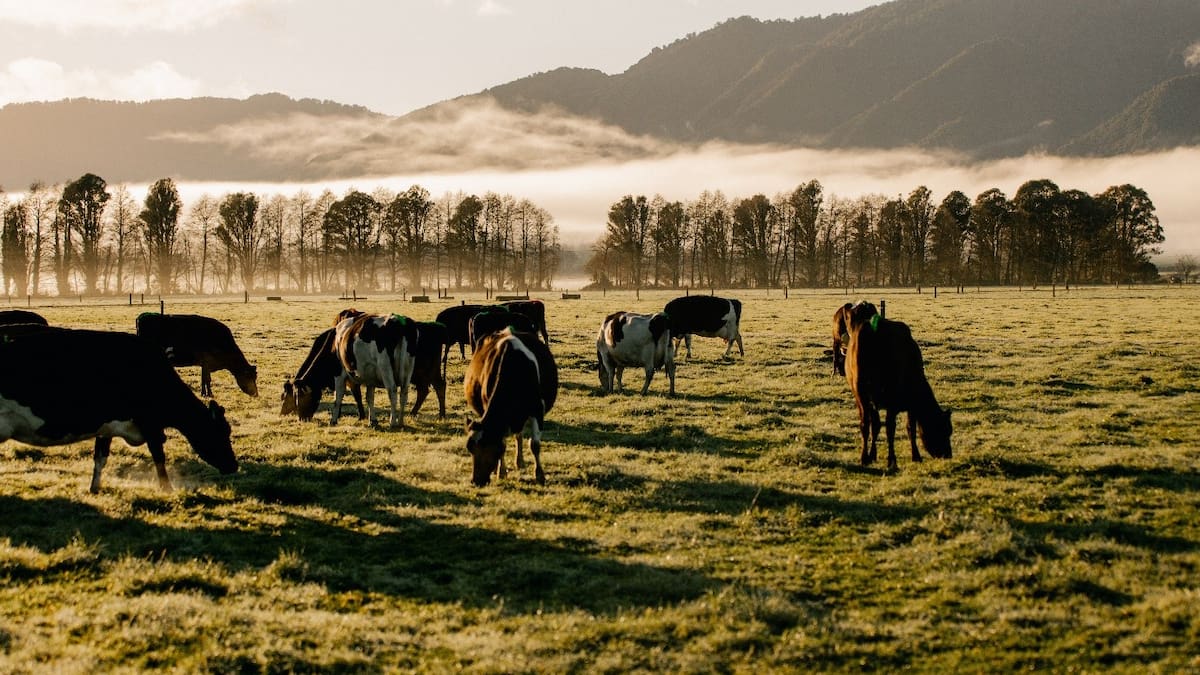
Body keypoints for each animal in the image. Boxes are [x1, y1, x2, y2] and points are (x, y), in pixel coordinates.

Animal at [0, 324, 237, 487]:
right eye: (221, 432)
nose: (233, 465)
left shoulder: (107, 426)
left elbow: (100, 458)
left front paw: (95, 489)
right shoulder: (149, 424)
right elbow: (159, 457)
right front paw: (167, 489)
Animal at [463, 326, 556, 482]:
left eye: (492, 447)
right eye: (470, 449)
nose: (477, 481)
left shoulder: (537, 409)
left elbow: (535, 444)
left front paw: (540, 475)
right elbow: (506, 442)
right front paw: (501, 472)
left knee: (519, 435)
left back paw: (520, 462)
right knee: (518, 435)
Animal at [844, 302, 955, 470]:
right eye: (945, 430)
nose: (948, 454)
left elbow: (876, 426)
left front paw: (872, 455)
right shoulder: (910, 404)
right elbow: (910, 428)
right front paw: (916, 456)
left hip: (859, 391)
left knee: (865, 424)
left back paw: (864, 458)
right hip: (887, 394)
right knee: (889, 427)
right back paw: (892, 460)